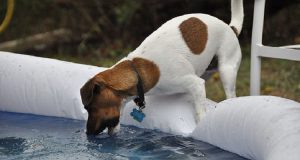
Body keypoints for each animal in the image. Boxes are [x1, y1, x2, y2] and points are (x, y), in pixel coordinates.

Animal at [80, 0, 244, 135]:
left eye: (90, 108)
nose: (88, 133)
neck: (138, 71)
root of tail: (230, 27)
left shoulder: (195, 84)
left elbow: (200, 113)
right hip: (206, 71)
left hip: (226, 71)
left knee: (230, 94)